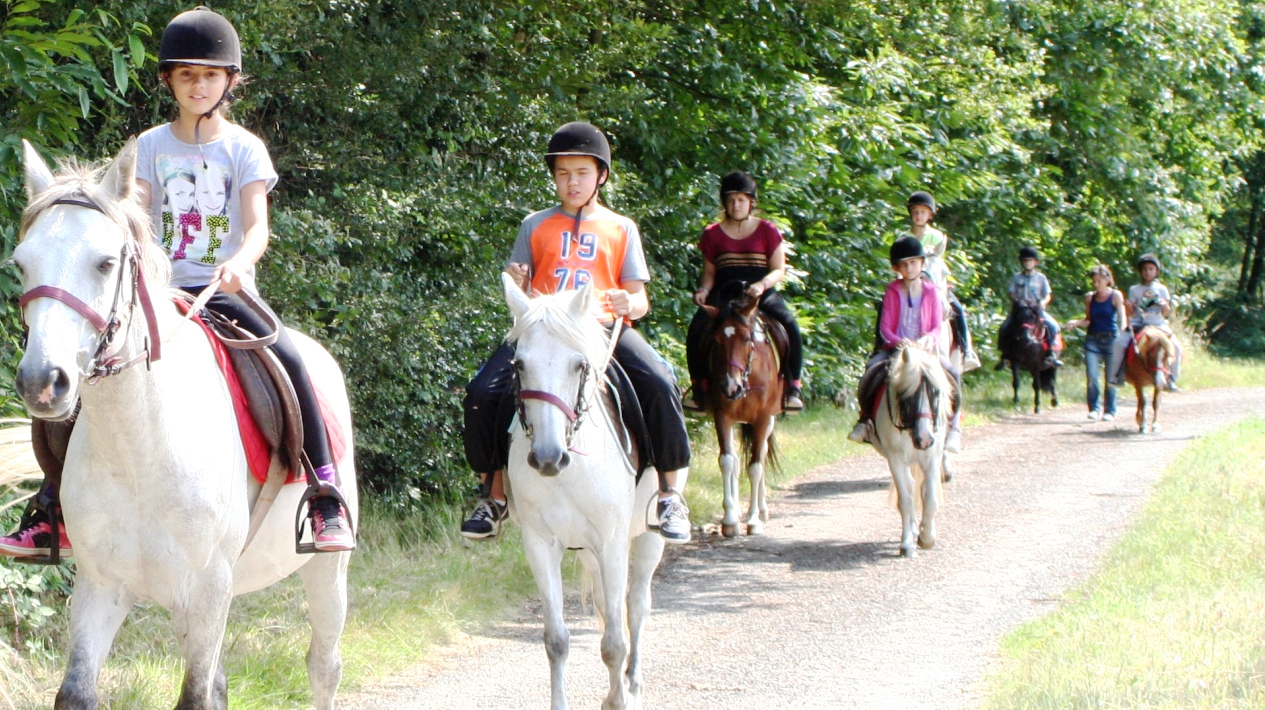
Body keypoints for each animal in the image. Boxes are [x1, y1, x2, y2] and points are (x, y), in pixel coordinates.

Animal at [13, 139, 361, 708]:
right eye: (21, 263)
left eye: (105, 263)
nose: (43, 381)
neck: (141, 449)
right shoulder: (100, 587)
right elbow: (79, 693)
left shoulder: (208, 588)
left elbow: (196, 694)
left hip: (325, 570)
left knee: (324, 666)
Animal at [498, 272, 667, 708]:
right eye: (519, 364)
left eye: (578, 365)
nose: (547, 457)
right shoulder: (541, 545)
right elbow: (557, 640)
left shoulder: (612, 542)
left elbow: (615, 643)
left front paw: (620, 698)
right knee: (612, 608)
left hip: (648, 538)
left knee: (637, 606)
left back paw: (632, 684)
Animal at [703, 291, 779, 534]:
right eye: (716, 340)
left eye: (746, 338)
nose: (731, 388)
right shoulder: (722, 417)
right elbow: (727, 461)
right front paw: (729, 520)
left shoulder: (763, 419)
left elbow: (755, 467)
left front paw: (753, 520)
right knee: (737, 461)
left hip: (769, 421)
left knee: (762, 455)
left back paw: (762, 511)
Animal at [870, 344, 951, 559]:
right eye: (906, 395)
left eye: (936, 393)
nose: (924, 439)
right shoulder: (896, 460)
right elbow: (905, 500)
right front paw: (907, 543)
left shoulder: (931, 458)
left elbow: (929, 498)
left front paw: (927, 537)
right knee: (909, 488)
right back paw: (913, 529)